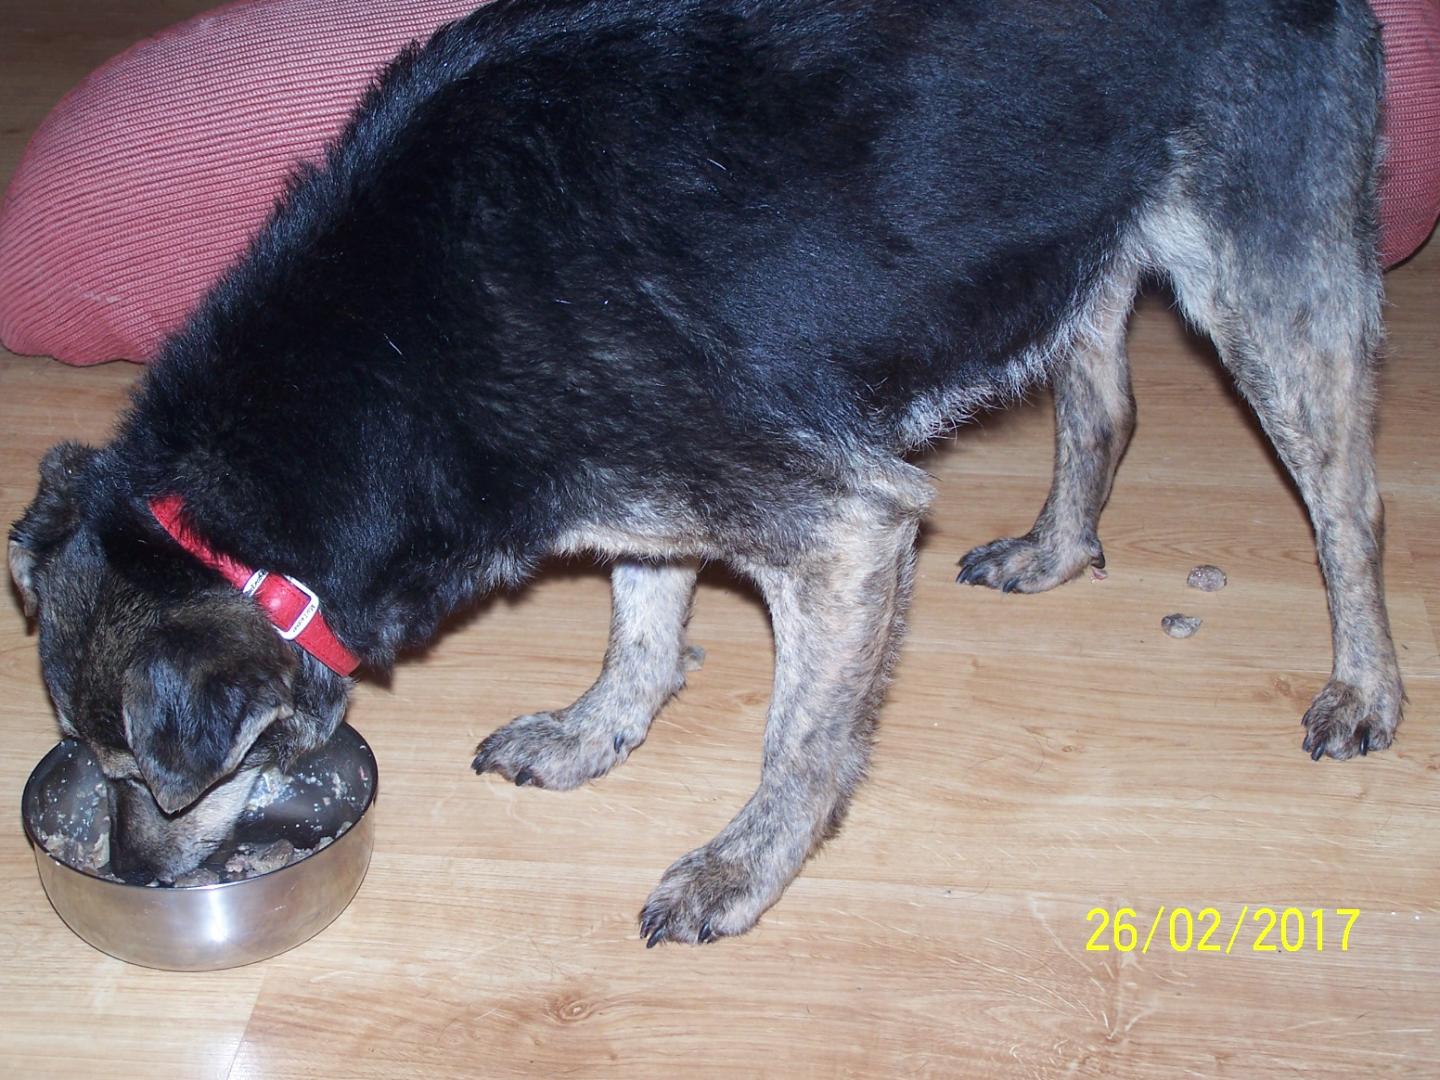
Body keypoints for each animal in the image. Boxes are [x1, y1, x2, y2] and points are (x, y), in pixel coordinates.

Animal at [9, 0, 1400, 945]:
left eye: (143, 778)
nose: (148, 883)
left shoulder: (847, 527)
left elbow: (801, 745)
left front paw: (743, 870)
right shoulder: (643, 491)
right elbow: (640, 618)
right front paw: (596, 733)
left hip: (1266, 287)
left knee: (1350, 506)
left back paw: (1365, 684)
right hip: (1068, 241)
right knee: (1103, 404)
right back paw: (1059, 549)